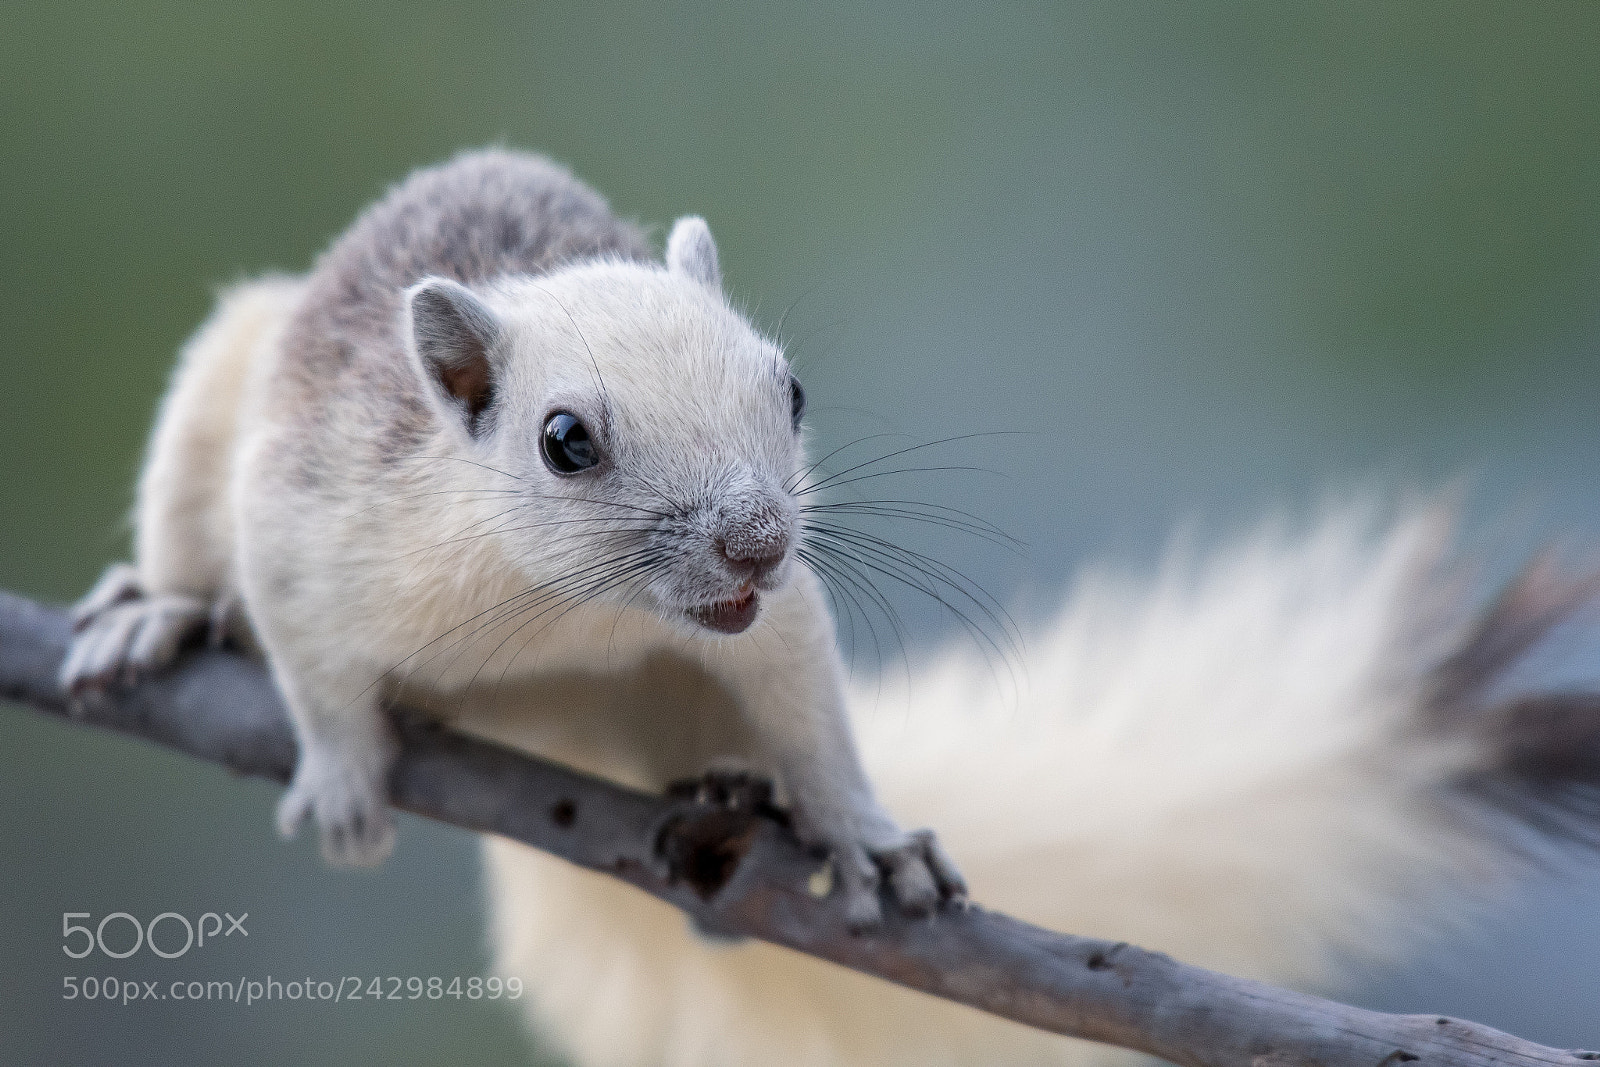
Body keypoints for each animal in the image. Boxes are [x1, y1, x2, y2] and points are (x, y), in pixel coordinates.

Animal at [62, 150, 1600, 1066]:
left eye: (788, 386)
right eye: (564, 439)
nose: (756, 536)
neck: (555, 620)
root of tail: (546, 729)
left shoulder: (776, 622)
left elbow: (813, 709)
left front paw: (867, 832)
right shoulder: (308, 521)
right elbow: (311, 661)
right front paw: (338, 777)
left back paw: (734, 791)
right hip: (219, 391)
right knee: (199, 548)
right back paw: (153, 612)